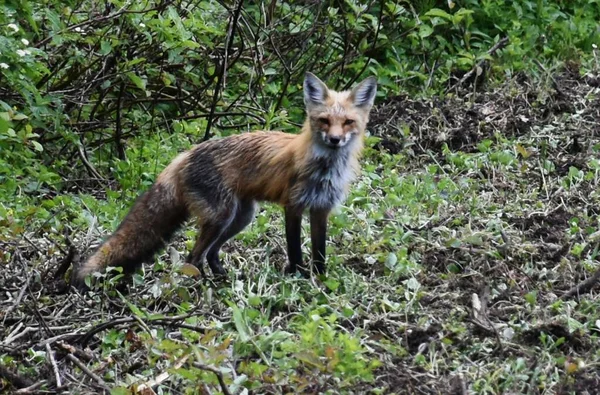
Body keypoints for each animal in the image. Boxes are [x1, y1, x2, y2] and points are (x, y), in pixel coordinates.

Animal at [72, 71, 378, 290]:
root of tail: (184, 155)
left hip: (240, 217)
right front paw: (295, 276)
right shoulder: (293, 205)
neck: (325, 169)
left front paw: (321, 278)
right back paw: (202, 285)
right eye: (324, 120)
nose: (335, 140)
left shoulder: (321, 208)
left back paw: (222, 278)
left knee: (210, 253)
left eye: (348, 122)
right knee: (193, 257)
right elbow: (294, 248)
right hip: (222, 216)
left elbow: (320, 250)